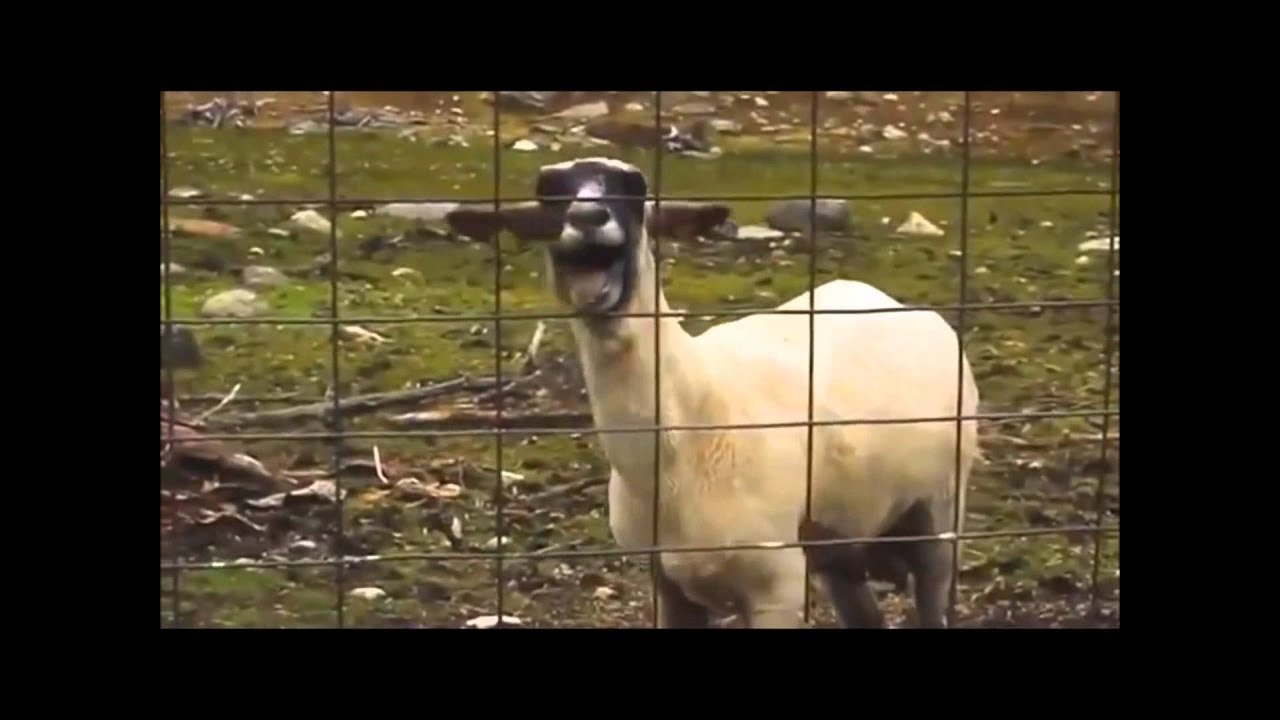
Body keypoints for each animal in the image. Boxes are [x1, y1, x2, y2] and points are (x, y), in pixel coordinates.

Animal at [446, 157, 980, 628]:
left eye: (634, 188)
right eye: (549, 192)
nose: (588, 217)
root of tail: (881, 296)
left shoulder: (777, 582)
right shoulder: (666, 583)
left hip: (940, 506)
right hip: (840, 538)